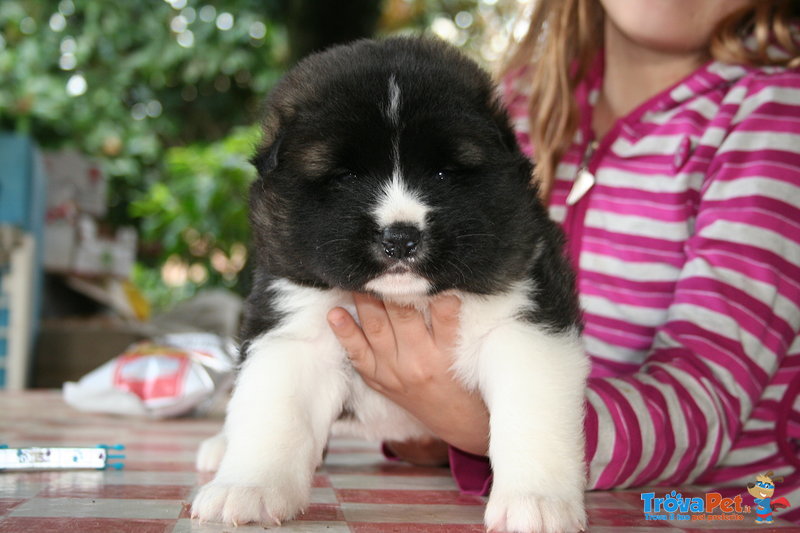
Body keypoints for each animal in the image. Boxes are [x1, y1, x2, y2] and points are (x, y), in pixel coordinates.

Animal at [188, 37, 588, 532]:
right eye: (345, 177)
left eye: (443, 174)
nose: (400, 237)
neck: (408, 302)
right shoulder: (294, 329)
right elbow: (275, 417)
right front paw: (247, 488)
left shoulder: (526, 325)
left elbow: (531, 416)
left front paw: (537, 500)